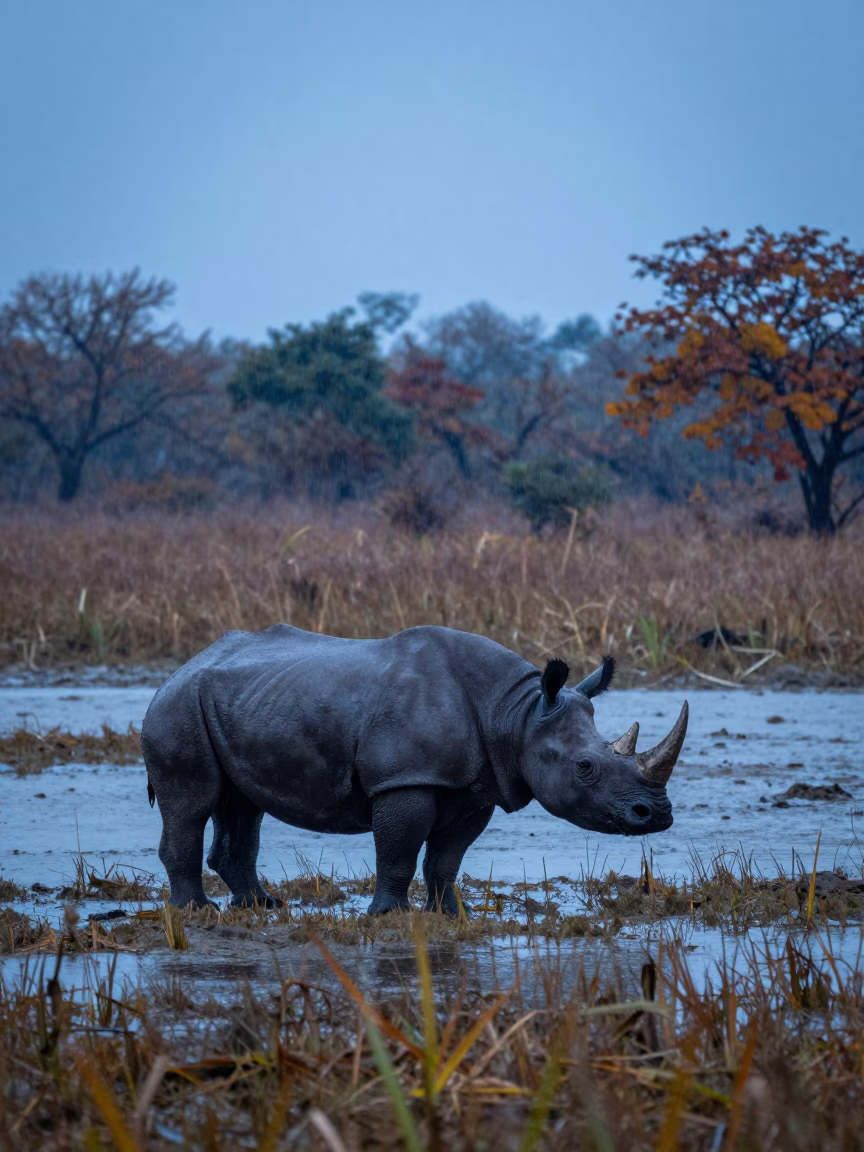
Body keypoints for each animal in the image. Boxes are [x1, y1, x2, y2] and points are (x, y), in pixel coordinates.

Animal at [142, 624, 687, 915]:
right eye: (585, 766)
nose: (656, 814)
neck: (516, 714)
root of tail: (179, 669)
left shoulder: (476, 788)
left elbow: (447, 857)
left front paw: (451, 913)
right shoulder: (405, 778)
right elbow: (400, 847)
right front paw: (390, 915)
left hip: (237, 703)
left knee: (242, 804)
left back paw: (261, 906)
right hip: (177, 709)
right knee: (192, 803)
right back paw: (195, 911)